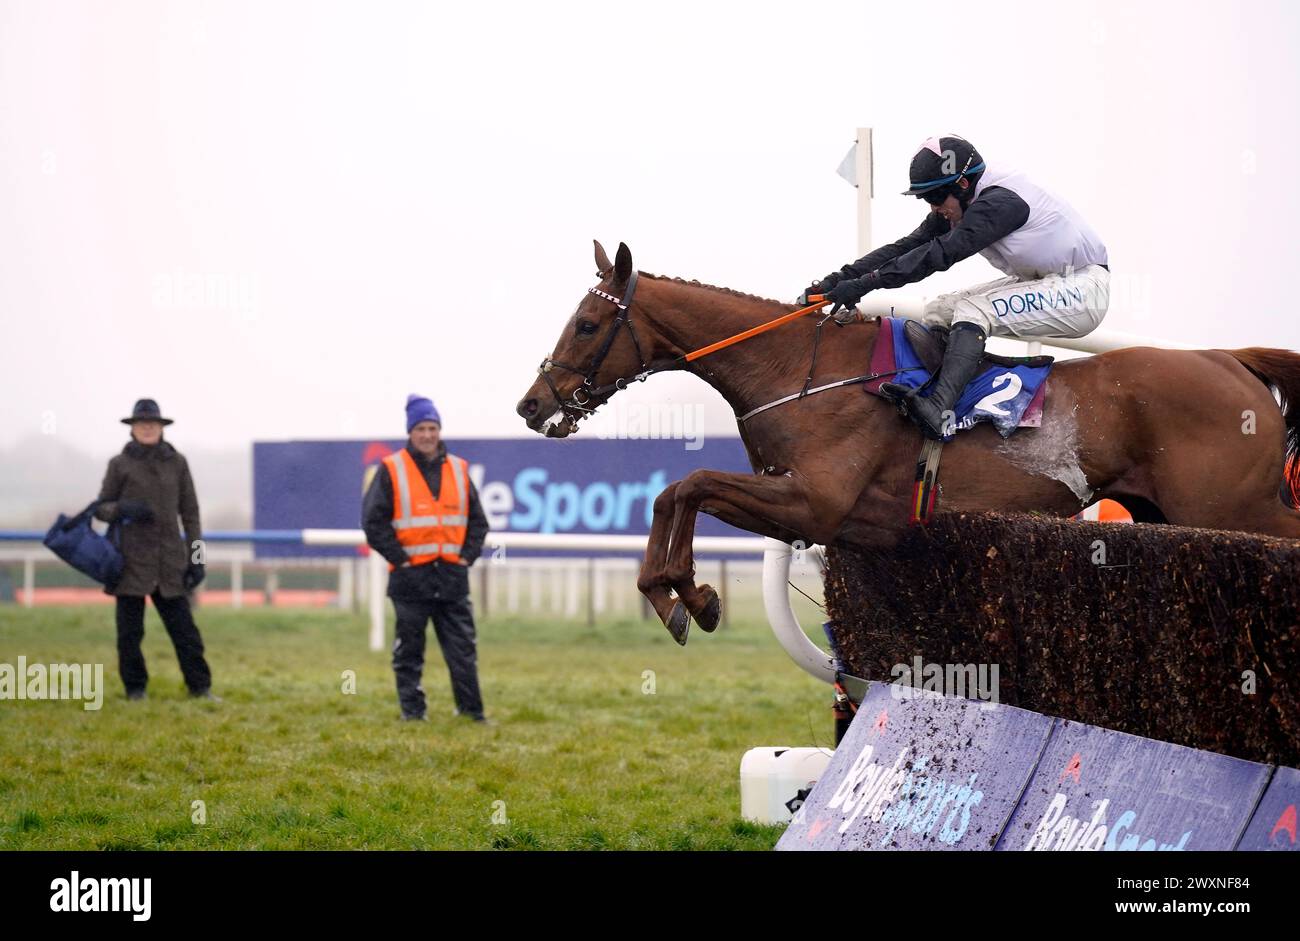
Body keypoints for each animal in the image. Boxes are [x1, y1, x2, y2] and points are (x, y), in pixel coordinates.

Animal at [514, 243, 1300, 642]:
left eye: (587, 324)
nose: (531, 404)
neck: (800, 370)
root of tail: (1233, 360)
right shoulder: (836, 517)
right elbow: (676, 492)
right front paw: (684, 596)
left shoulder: (815, 502)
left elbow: (690, 483)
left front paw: (680, 591)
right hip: (1171, 514)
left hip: (1232, 508)